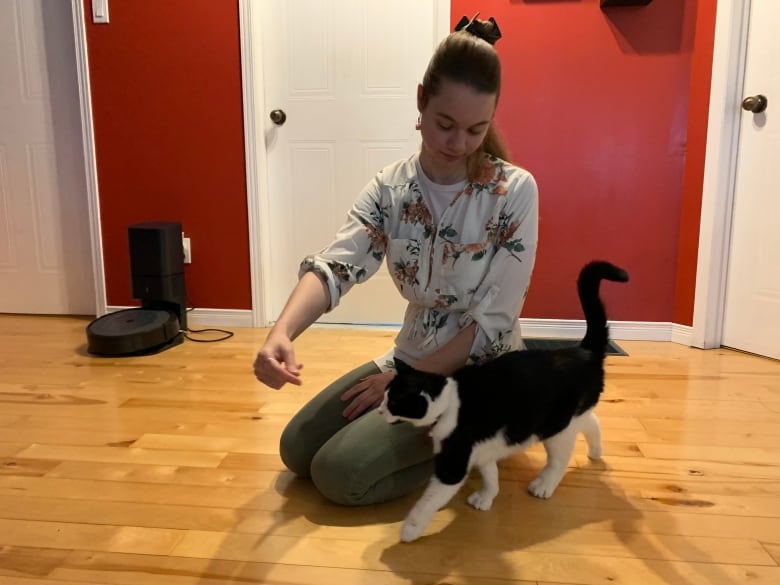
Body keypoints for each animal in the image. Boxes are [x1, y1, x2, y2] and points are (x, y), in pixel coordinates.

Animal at [378, 262, 628, 544]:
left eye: (393, 401)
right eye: (385, 397)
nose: (379, 410)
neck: (450, 402)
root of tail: (584, 351)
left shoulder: (454, 462)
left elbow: (429, 500)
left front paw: (410, 529)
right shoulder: (483, 449)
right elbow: (491, 475)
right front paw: (486, 498)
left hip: (556, 428)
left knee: (560, 459)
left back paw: (543, 485)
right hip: (570, 418)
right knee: (592, 421)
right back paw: (595, 451)